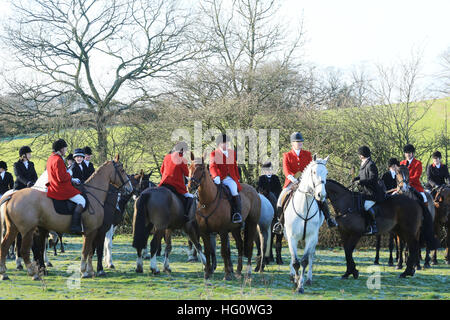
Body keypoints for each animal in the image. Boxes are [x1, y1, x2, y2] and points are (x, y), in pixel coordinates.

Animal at [0, 157, 133, 280]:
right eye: (122, 170)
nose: (130, 189)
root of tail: (12, 195)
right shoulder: (92, 231)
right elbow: (87, 251)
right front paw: (85, 272)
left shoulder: (93, 231)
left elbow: (90, 251)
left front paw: (90, 271)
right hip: (27, 230)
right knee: (25, 250)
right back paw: (34, 273)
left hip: (14, 228)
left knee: (5, 246)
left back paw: (5, 273)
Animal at [284, 154, 328, 294]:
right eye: (313, 172)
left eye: (326, 173)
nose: (321, 195)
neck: (304, 207)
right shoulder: (292, 237)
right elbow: (295, 261)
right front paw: (296, 280)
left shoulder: (311, 237)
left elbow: (304, 261)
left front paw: (300, 285)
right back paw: (293, 275)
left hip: (314, 238)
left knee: (311, 256)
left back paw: (308, 279)